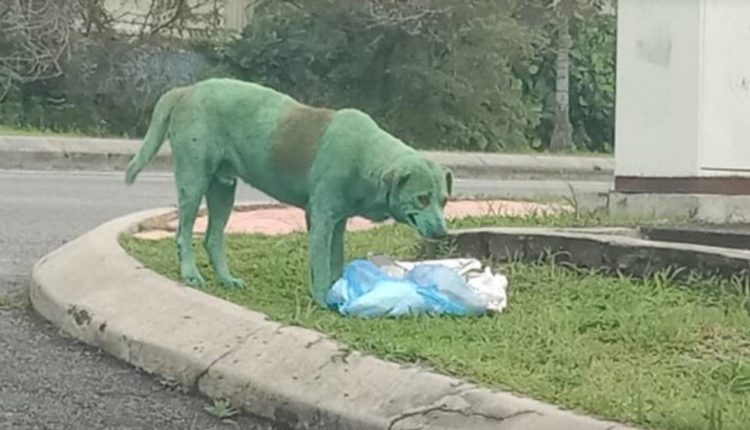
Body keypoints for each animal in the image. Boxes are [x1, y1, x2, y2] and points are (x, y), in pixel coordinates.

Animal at [125, 77, 452, 306]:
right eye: (422, 198)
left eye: (444, 201)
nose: (442, 233)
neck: (366, 158)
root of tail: (187, 90)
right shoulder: (321, 219)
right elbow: (321, 264)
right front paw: (323, 300)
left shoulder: (339, 222)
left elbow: (335, 260)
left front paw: (339, 291)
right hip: (193, 180)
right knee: (184, 233)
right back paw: (190, 274)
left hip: (223, 189)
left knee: (212, 238)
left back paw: (227, 279)